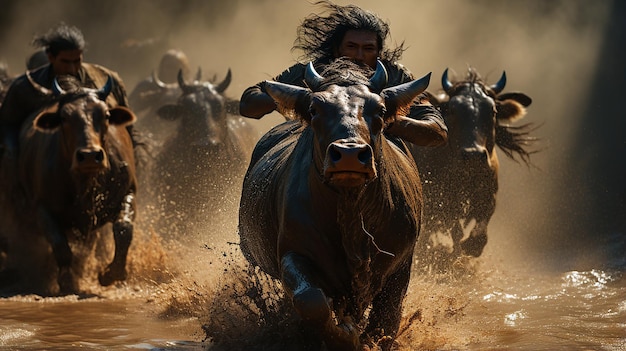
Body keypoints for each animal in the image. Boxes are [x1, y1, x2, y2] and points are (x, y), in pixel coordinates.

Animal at [0, 73, 137, 294]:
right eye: (64, 117)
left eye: (106, 115)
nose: (89, 156)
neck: (85, 183)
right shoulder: (42, 208)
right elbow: (60, 245)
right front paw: (67, 281)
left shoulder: (128, 192)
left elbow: (124, 229)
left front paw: (111, 274)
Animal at [236, 59, 426, 350]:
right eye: (314, 109)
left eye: (380, 110)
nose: (349, 154)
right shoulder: (294, 253)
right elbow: (311, 302)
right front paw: (345, 335)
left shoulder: (400, 264)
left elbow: (386, 319)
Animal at [410, 67, 536, 262]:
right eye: (452, 110)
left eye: (492, 110)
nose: (473, 155)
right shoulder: (442, 204)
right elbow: (456, 231)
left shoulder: (488, 197)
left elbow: (478, 233)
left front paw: (469, 247)